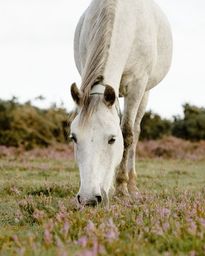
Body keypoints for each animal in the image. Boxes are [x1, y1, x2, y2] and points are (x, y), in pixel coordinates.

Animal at [69, 0, 172, 206]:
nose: (88, 199)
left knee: (136, 130)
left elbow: (128, 134)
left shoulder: (137, 85)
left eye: (112, 139)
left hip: (145, 92)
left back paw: (131, 185)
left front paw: (122, 187)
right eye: (73, 138)